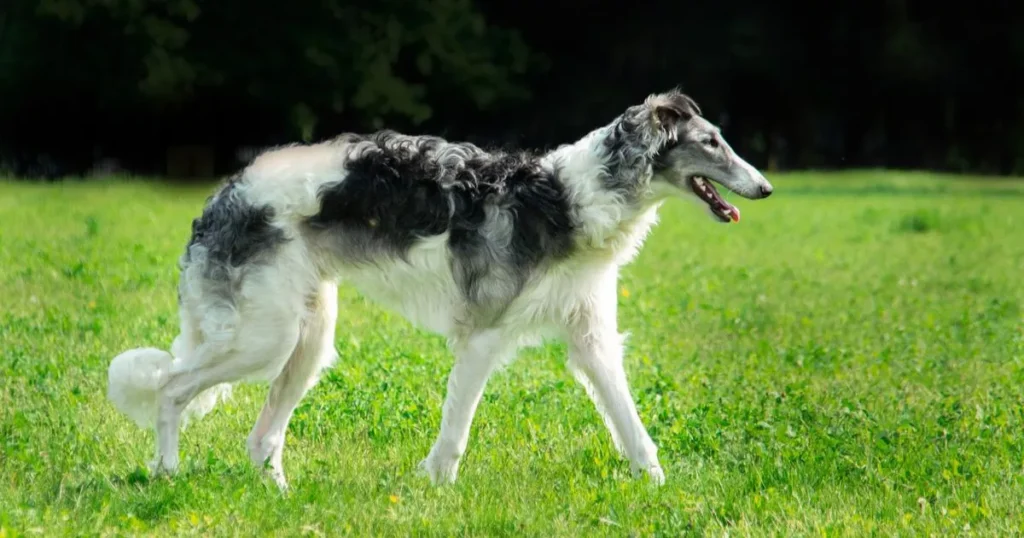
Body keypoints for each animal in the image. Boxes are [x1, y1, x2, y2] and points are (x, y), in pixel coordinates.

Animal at [108, 87, 770, 485]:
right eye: (712, 142)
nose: (764, 188)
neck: (572, 199)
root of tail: (225, 193)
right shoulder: (483, 338)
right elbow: (455, 435)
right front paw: (436, 489)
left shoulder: (592, 339)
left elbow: (633, 430)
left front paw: (659, 489)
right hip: (265, 339)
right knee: (171, 389)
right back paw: (165, 472)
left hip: (307, 339)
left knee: (261, 437)